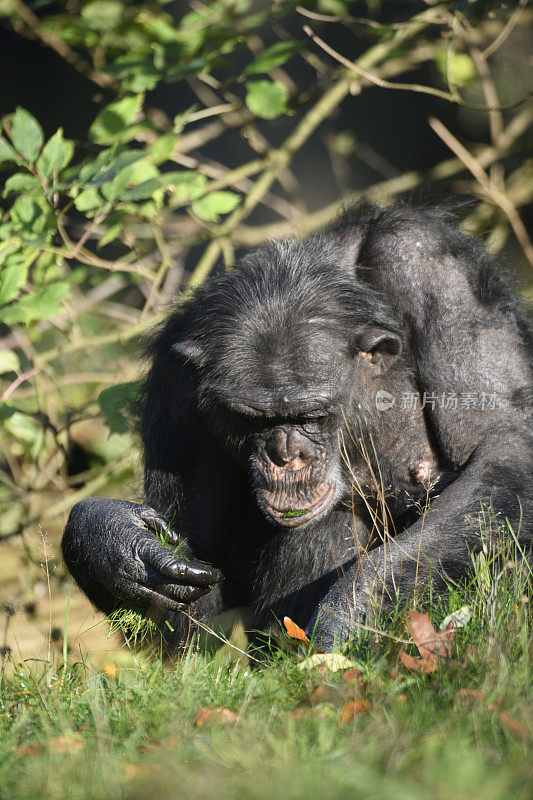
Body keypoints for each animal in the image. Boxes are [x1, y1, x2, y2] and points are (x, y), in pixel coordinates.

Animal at [63, 205, 532, 648]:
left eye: (311, 416)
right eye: (252, 419)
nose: (286, 455)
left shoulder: (435, 267)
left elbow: (503, 445)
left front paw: (352, 612)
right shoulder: (174, 379)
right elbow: (193, 580)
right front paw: (113, 541)